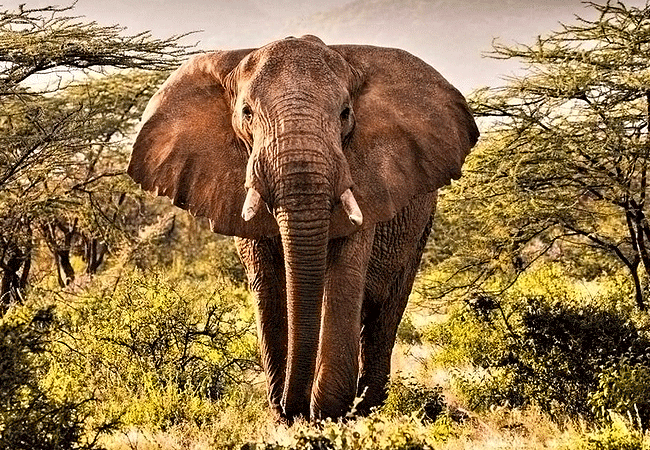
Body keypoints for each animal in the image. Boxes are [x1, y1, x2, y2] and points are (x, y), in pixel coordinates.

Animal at [127, 35, 479, 421]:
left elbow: (344, 275)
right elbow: (268, 282)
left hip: (420, 228)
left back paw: (364, 406)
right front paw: (287, 414)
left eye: (345, 113)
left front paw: (325, 414)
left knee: (385, 308)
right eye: (247, 113)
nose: (292, 408)